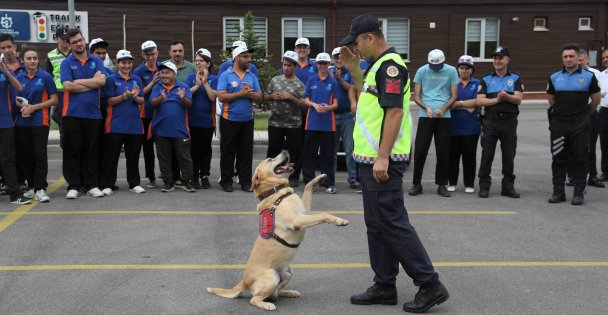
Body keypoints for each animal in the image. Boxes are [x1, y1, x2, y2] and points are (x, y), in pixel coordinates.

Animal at [209, 152, 350, 312]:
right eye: (270, 159)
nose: (285, 151)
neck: (276, 193)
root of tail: (243, 281)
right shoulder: (297, 221)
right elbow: (323, 214)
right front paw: (339, 221)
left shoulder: (304, 213)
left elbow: (308, 187)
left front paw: (318, 179)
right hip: (271, 278)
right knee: (254, 299)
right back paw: (267, 304)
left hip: (288, 273)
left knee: (276, 292)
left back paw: (289, 292)